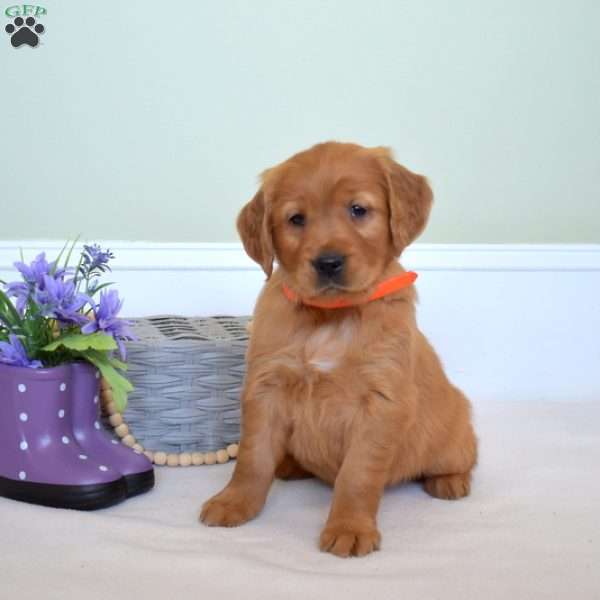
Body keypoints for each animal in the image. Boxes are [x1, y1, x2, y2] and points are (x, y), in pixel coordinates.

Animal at [202, 141, 478, 556]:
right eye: (296, 219)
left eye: (358, 210)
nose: (328, 262)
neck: (330, 317)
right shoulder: (265, 388)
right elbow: (252, 457)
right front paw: (234, 501)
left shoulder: (380, 403)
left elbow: (357, 475)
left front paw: (350, 527)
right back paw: (290, 465)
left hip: (454, 432)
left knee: (464, 457)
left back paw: (450, 481)